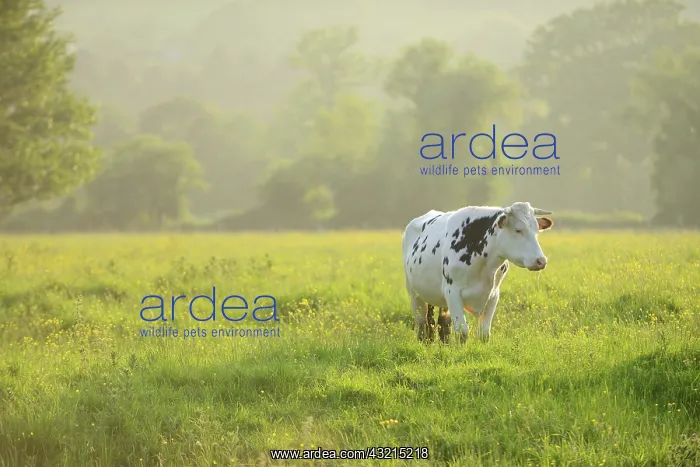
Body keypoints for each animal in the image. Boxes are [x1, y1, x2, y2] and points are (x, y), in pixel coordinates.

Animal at [401, 201, 554, 344]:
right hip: (413, 292)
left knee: (442, 323)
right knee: (422, 323)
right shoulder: (452, 291)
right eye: (518, 230)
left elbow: (484, 334)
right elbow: (462, 331)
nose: (541, 261)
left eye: (537, 231)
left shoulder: (494, 294)